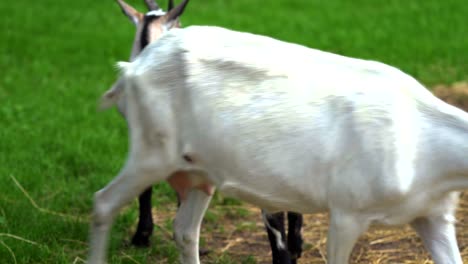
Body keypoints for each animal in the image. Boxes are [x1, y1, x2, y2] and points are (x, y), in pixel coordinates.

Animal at [88, 25, 468, 264]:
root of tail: (130, 68)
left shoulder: (435, 214)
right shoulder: (347, 210)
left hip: (199, 168)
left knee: (184, 229)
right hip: (151, 150)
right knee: (103, 202)